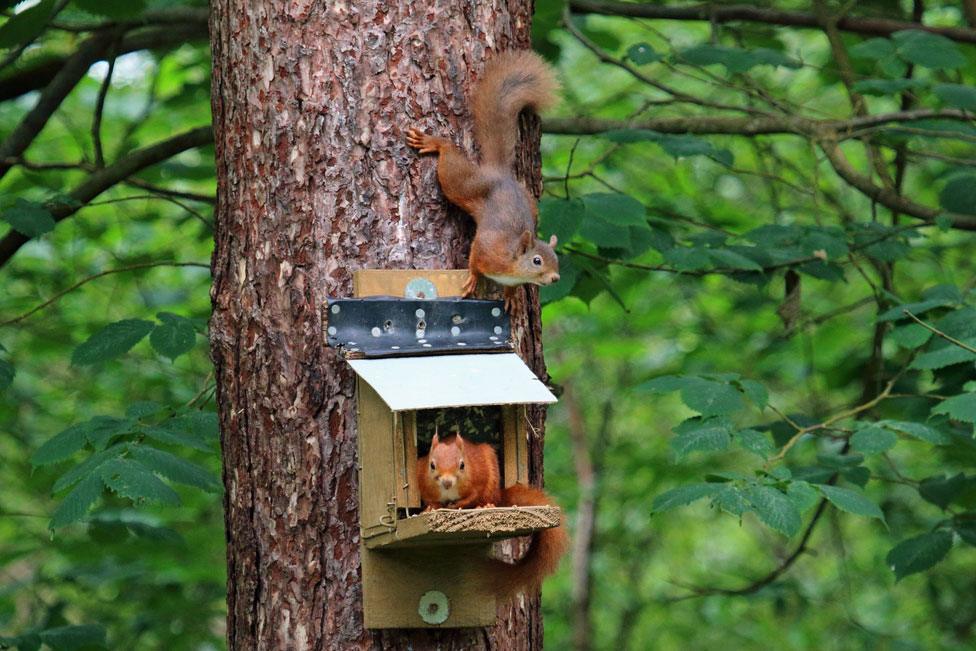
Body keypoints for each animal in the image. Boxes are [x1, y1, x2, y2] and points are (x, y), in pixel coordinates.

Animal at [406, 51, 560, 310]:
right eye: (537, 261)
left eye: (557, 259)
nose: (555, 278)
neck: (513, 267)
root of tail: (500, 174)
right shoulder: (487, 249)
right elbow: (475, 258)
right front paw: (472, 278)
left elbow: (511, 289)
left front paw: (510, 298)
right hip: (463, 184)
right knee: (450, 159)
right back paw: (436, 143)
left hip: (529, 201)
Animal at [416, 432, 568, 600]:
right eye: (432, 465)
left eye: (462, 465)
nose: (447, 483)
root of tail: (500, 495)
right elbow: (430, 499)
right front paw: (430, 508)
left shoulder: (478, 478)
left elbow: (473, 495)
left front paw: (457, 505)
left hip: (491, 478)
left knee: (489, 497)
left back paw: (486, 506)